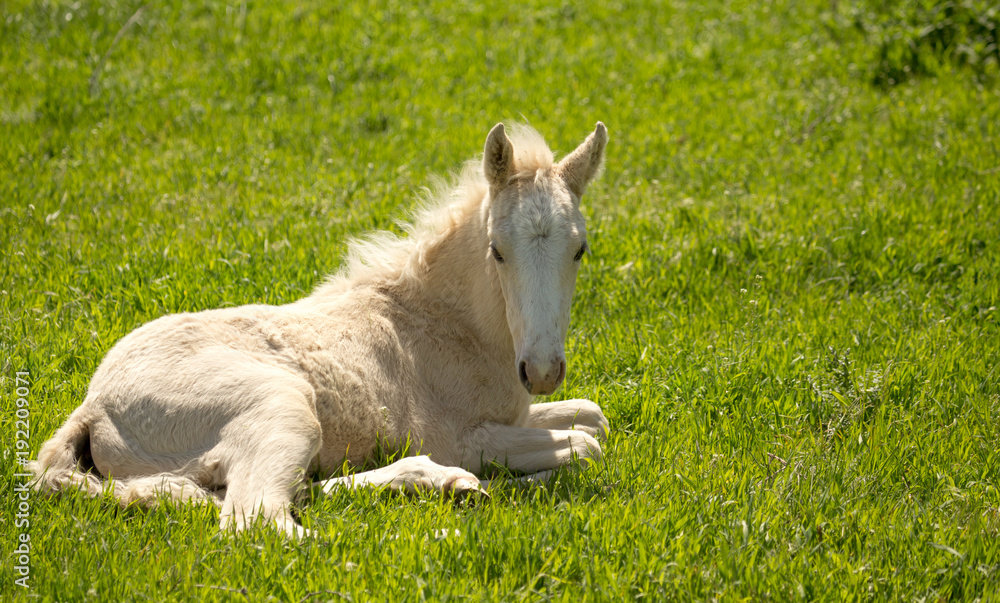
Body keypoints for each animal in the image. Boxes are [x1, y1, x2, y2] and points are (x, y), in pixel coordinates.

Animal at [31, 122, 610, 536]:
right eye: (498, 250)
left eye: (580, 250)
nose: (541, 371)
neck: (444, 324)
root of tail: (93, 406)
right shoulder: (464, 436)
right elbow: (587, 446)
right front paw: (524, 479)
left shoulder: (521, 412)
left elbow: (593, 418)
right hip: (280, 405)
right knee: (257, 519)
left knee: (277, 494)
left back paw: (442, 483)